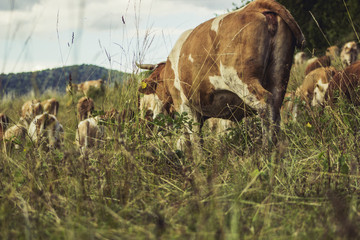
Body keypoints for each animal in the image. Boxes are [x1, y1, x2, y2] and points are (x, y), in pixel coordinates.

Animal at [139, 0, 304, 147]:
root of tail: (253, 6)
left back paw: (266, 150)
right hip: (279, 76)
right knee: (275, 110)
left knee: (264, 102)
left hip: (240, 78)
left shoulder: (186, 106)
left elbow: (194, 142)